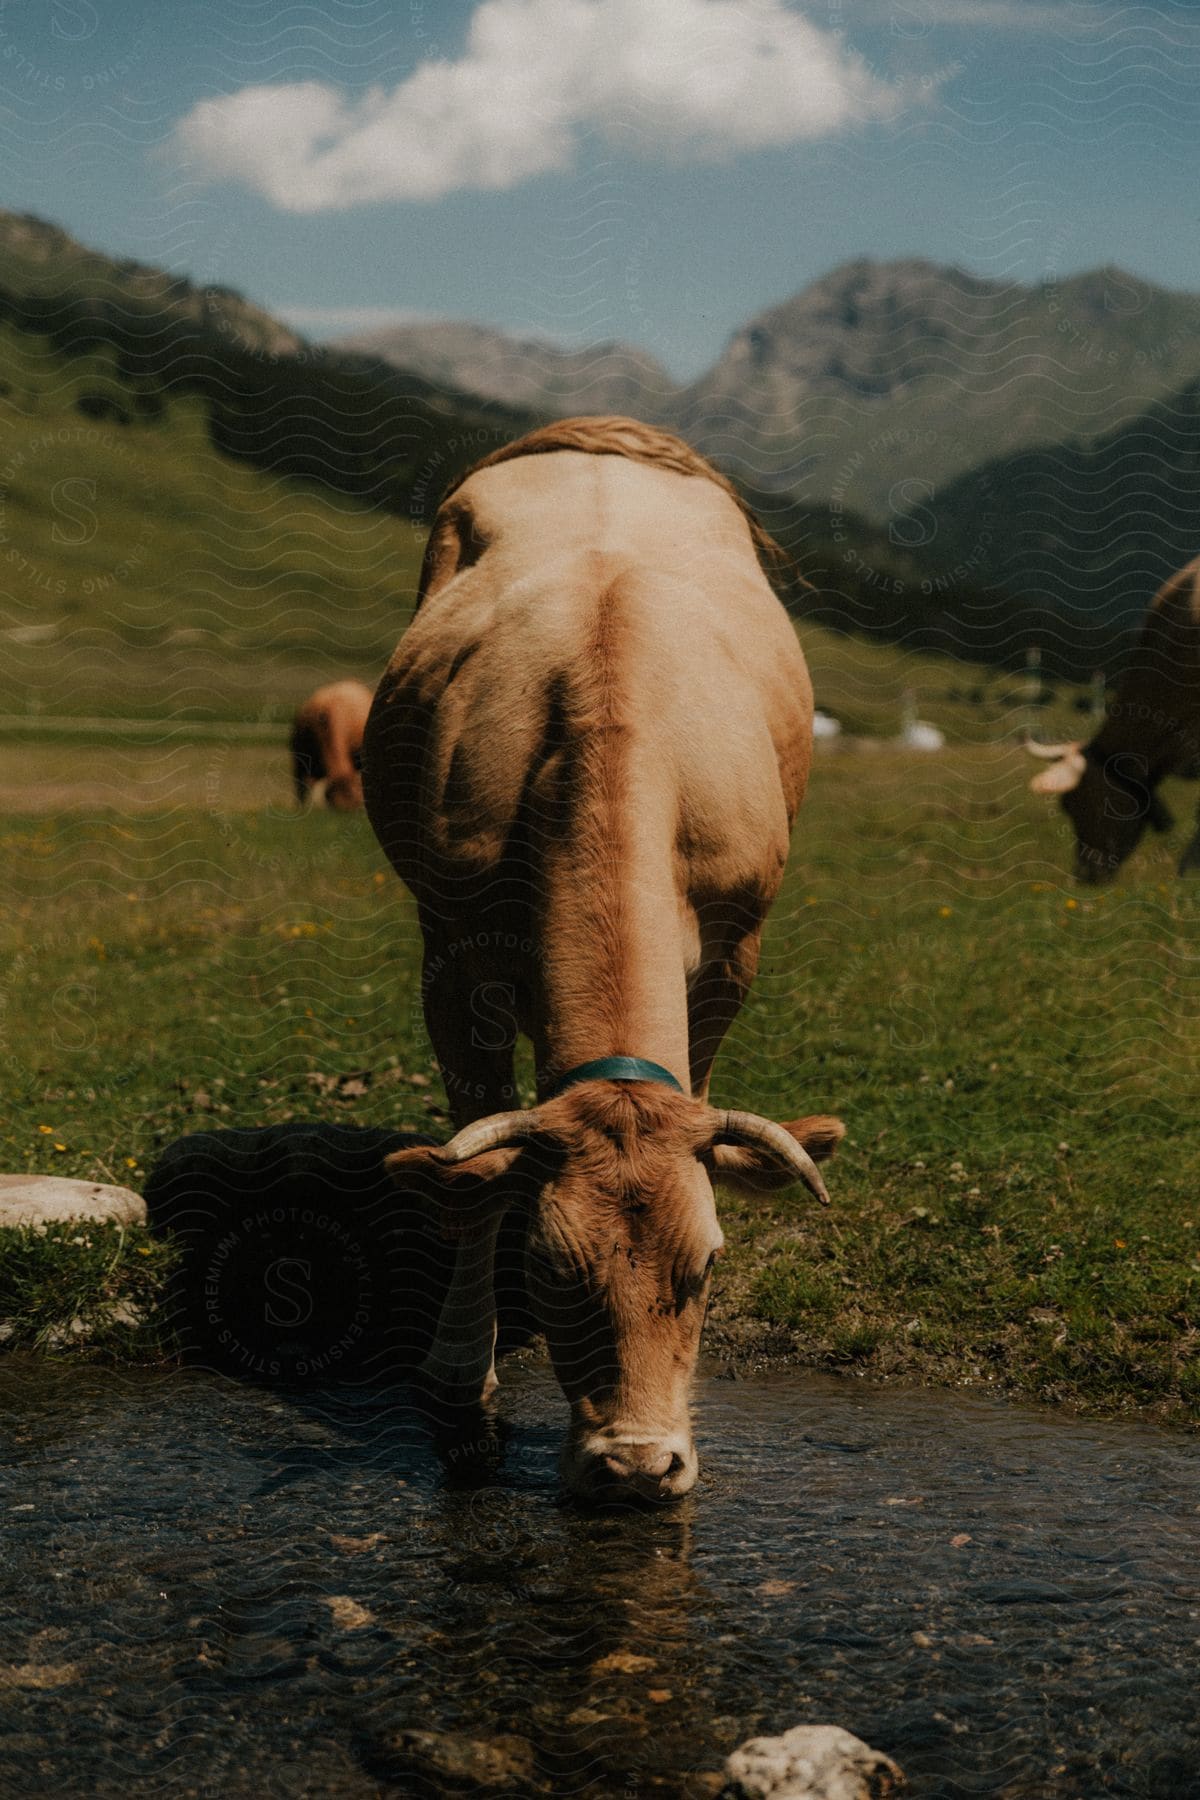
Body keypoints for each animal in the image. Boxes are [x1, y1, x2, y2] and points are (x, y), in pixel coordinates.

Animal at [367, 421, 845, 1504]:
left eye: (707, 1267)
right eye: (552, 1268)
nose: (635, 1465)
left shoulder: (735, 951)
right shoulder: (450, 958)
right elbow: (478, 1179)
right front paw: (459, 1385)